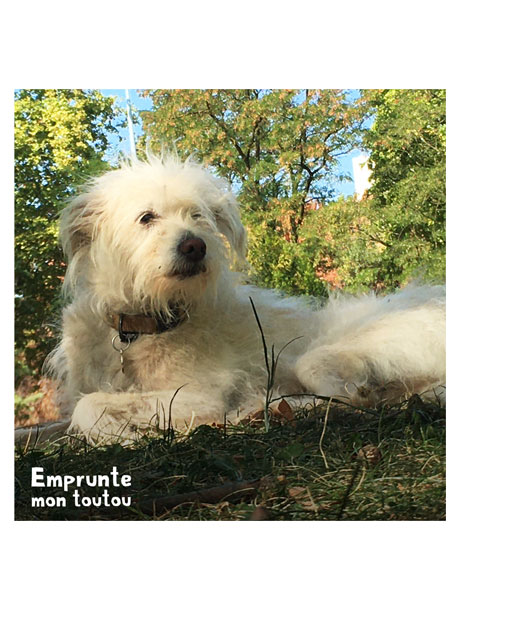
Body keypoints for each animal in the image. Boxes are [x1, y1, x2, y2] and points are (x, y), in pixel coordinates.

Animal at [46, 156, 446, 444]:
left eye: (198, 216)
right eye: (146, 217)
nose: (195, 246)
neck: (141, 326)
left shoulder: (199, 395)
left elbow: (89, 407)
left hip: (329, 355)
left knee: (356, 399)